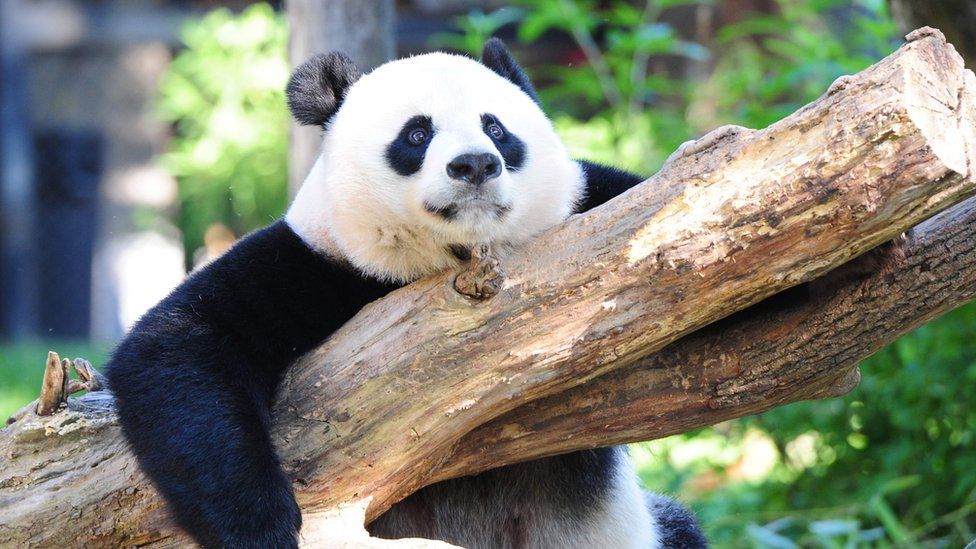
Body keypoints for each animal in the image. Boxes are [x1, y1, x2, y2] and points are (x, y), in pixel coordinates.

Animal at [107, 39, 704, 548]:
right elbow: (179, 345)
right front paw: (262, 526)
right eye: (416, 135)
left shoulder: (594, 206)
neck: (454, 257)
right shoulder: (317, 264)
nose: (475, 164)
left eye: (496, 128)